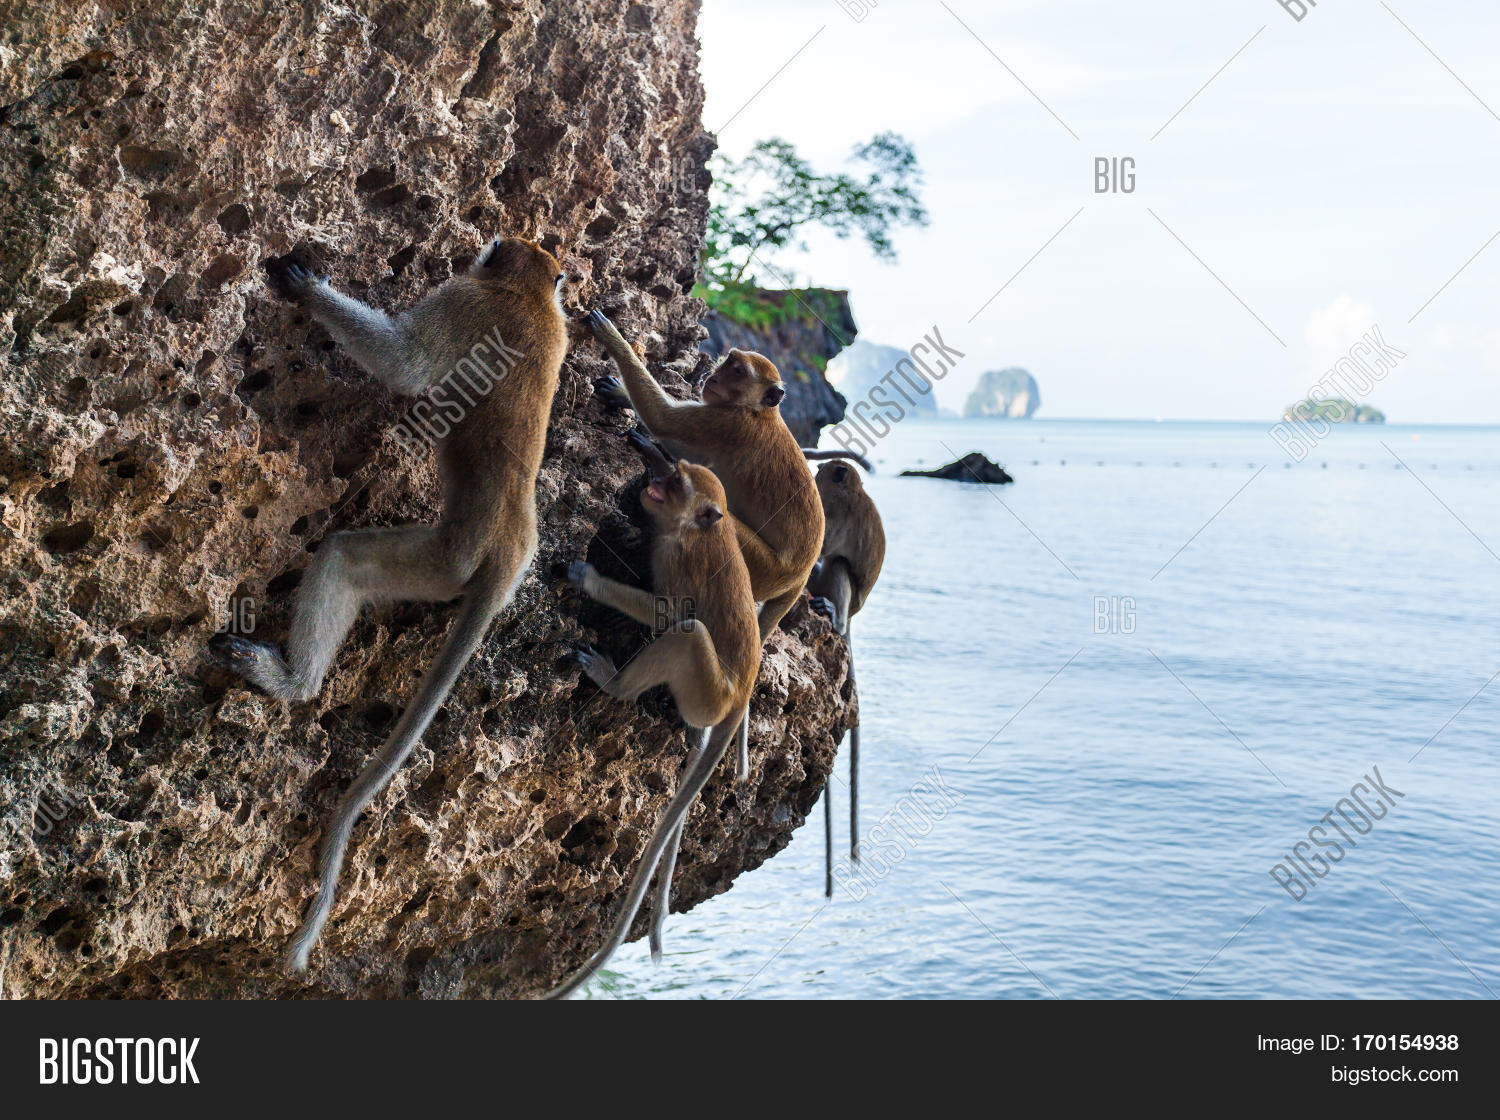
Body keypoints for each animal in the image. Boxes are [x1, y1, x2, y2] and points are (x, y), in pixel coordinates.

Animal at [206, 236, 568, 974]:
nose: (482, 244)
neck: (535, 297)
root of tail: (507, 552)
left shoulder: (467, 299)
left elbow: (406, 364)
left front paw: (307, 289)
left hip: (441, 559)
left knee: (344, 559)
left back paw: (291, 682)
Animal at [546, 429, 759, 997]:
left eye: (677, 477)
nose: (646, 449)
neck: (690, 529)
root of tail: (740, 695)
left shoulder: (679, 561)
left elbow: (669, 613)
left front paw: (588, 578)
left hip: (706, 686)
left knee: (687, 633)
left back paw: (614, 684)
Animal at [587, 309, 823, 783]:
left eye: (738, 371)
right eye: (729, 363)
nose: (713, 376)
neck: (755, 412)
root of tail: (802, 576)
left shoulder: (724, 424)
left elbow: (664, 420)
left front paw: (611, 336)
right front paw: (622, 394)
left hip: (761, 565)